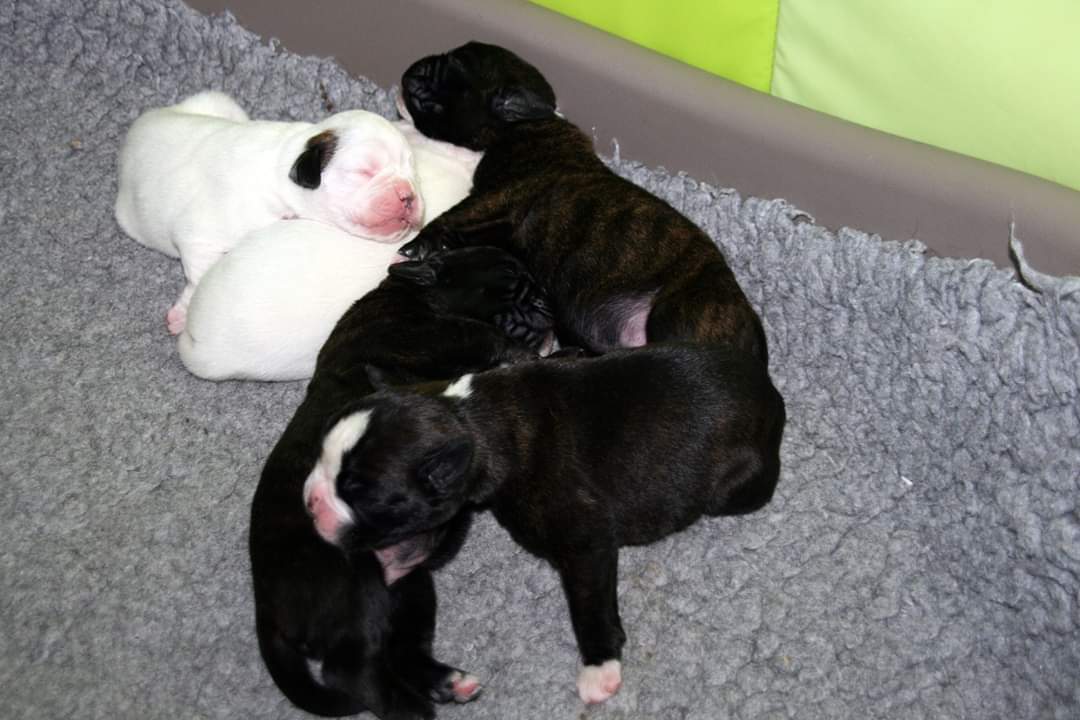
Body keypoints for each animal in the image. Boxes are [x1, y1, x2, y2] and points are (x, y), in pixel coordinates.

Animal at [115, 91, 423, 335]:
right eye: (365, 171)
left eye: (412, 169)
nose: (408, 195)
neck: (282, 168)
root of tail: (140, 124)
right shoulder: (198, 237)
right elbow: (198, 278)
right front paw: (182, 315)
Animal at [250, 245, 553, 718]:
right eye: (509, 282)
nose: (543, 302)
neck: (411, 295)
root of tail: (264, 606)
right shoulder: (467, 337)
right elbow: (514, 349)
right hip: (353, 587)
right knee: (352, 672)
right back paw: (412, 710)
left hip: (408, 590)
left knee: (399, 651)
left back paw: (446, 682)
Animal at [310, 343, 785, 705]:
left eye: (359, 492)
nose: (310, 502)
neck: (473, 417)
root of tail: (772, 396)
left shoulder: (585, 541)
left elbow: (588, 606)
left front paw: (598, 668)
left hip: (733, 488)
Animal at [396, 42, 768, 363]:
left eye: (455, 65)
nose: (417, 66)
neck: (523, 124)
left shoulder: (501, 197)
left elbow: (453, 217)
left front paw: (416, 246)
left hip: (680, 314)